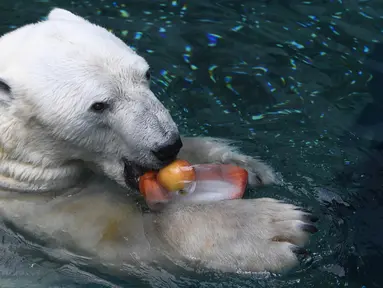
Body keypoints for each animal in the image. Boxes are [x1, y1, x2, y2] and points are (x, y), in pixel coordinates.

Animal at [0, 7, 318, 276]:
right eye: (99, 106)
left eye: (146, 74)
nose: (167, 146)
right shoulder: (47, 213)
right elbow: (131, 238)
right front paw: (275, 227)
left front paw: (245, 166)